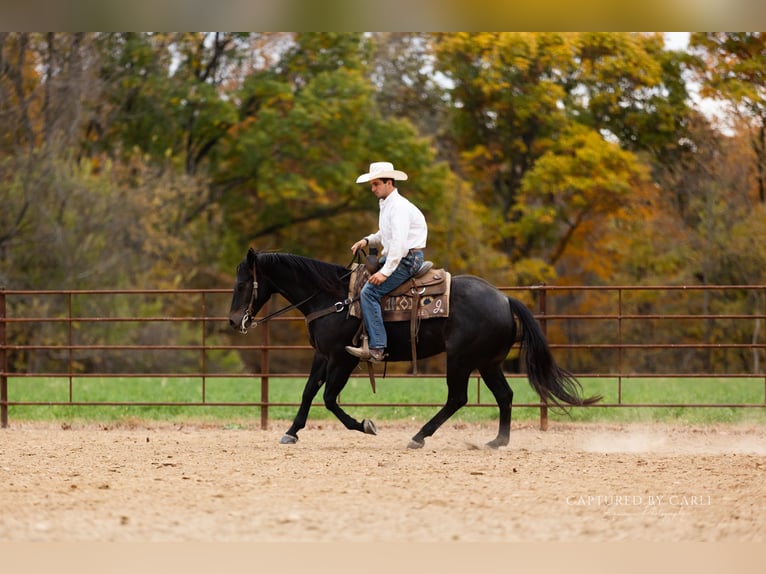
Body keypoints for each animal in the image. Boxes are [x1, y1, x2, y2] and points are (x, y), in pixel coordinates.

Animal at [228, 248, 601, 449]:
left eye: (244, 283)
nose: (234, 321)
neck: (332, 297)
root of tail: (505, 298)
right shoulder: (323, 355)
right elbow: (308, 392)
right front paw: (291, 432)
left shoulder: (342, 359)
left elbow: (330, 398)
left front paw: (365, 425)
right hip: (488, 362)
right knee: (504, 395)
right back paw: (497, 441)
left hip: (461, 359)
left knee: (457, 398)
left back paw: (419, 436)